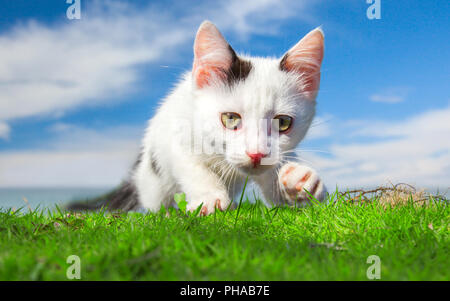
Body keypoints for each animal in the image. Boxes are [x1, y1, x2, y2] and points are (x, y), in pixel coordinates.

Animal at [67, 20, 326, 213]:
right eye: (230, 118)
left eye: (283, 123)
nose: (256, 154)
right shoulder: (178, 131)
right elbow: (191, 165)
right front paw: (209, 197)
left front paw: (301, 183)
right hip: (152, 179)